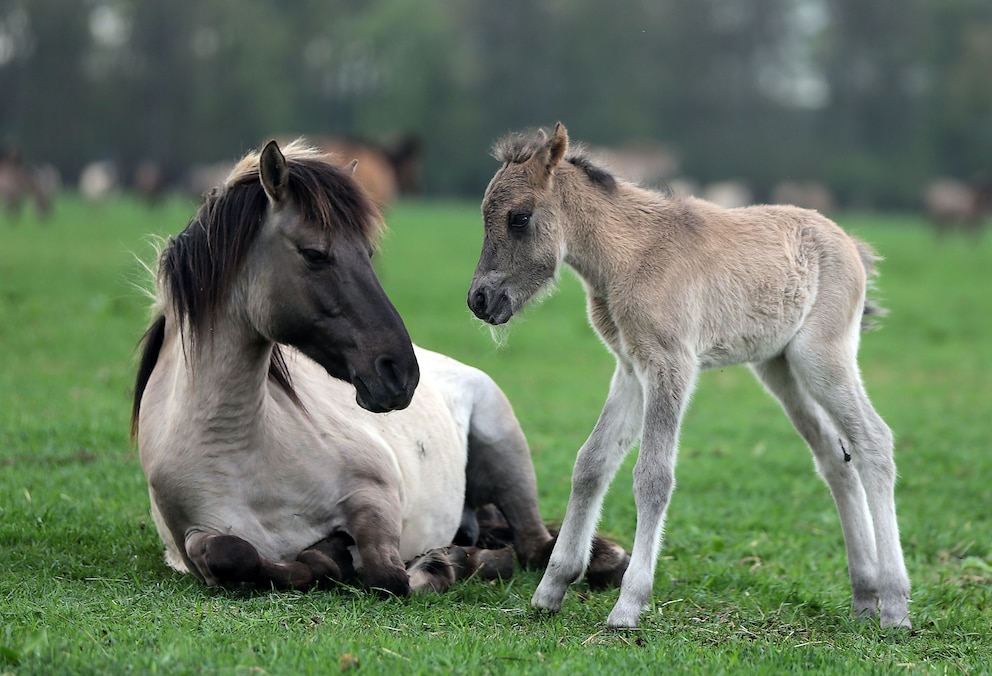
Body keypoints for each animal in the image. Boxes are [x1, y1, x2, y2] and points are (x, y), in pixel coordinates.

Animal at [131, 140, 624, 596]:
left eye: (368, 253)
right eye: (314, 254)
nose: (400, 372)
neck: (242, 450)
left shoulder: (374, 495)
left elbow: (389, 576)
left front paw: (439, 564)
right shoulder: (195, 540)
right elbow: (235, 554)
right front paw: (325, 558)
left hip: (506, 450)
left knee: (533, 545)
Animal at [468, 124, 912, 632]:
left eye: (519, 218)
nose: (479, 300)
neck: (630, 255)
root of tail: (850, 245)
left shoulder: (671, 365)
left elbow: (653, 477)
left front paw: (628, 605)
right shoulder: (630, 369)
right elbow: (591, 464)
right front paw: (551, 588)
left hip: (822, 358)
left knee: (873, 441)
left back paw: (895, 606)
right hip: (779, 367)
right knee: (834, 457)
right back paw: (864, 597)